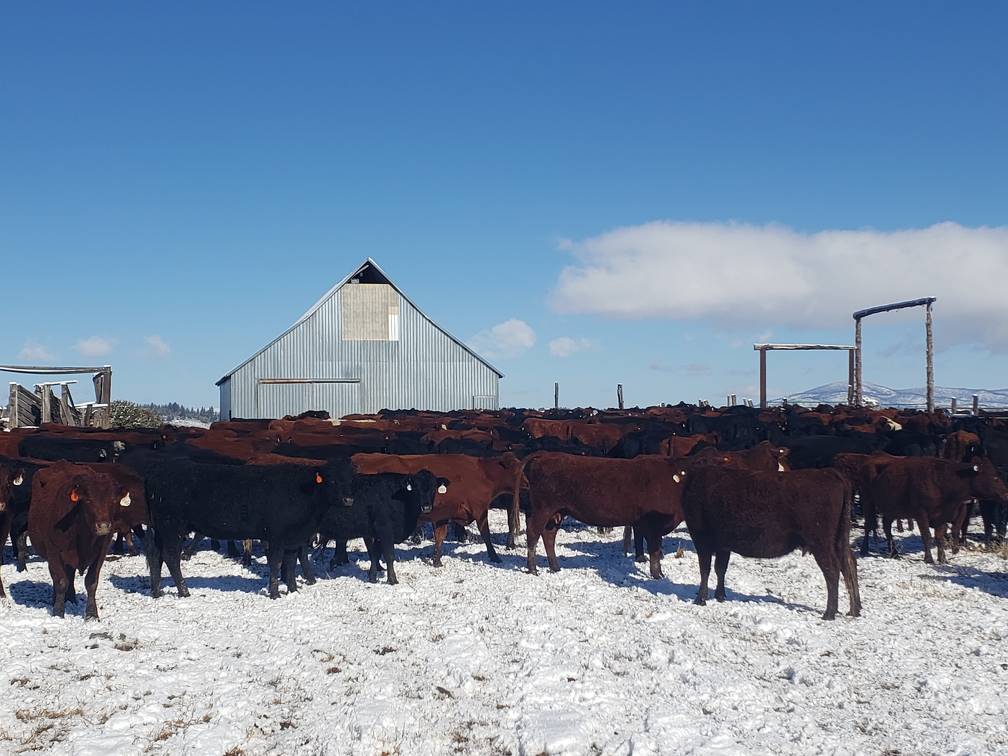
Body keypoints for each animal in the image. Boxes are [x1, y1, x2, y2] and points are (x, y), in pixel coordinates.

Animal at [27, 461, 130, 620]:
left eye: (113, 500)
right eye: (88, 500)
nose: (103, 526)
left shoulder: (101, 551)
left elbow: (91, 581)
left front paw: (92, 615)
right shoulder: (53, 551)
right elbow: (60, 581)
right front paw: (58, 613)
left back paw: (71, 599)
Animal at [677, 467, 858, 620]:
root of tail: (830, 473)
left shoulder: (702, 539)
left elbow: (705, 569)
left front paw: (700, 599)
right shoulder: (723, 545)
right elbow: (720, 568)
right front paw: (720, 596)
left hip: (821, 543)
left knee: (832, 571)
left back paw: (829, 613)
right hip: (839, 540)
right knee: (849, 564)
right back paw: (854, 610)